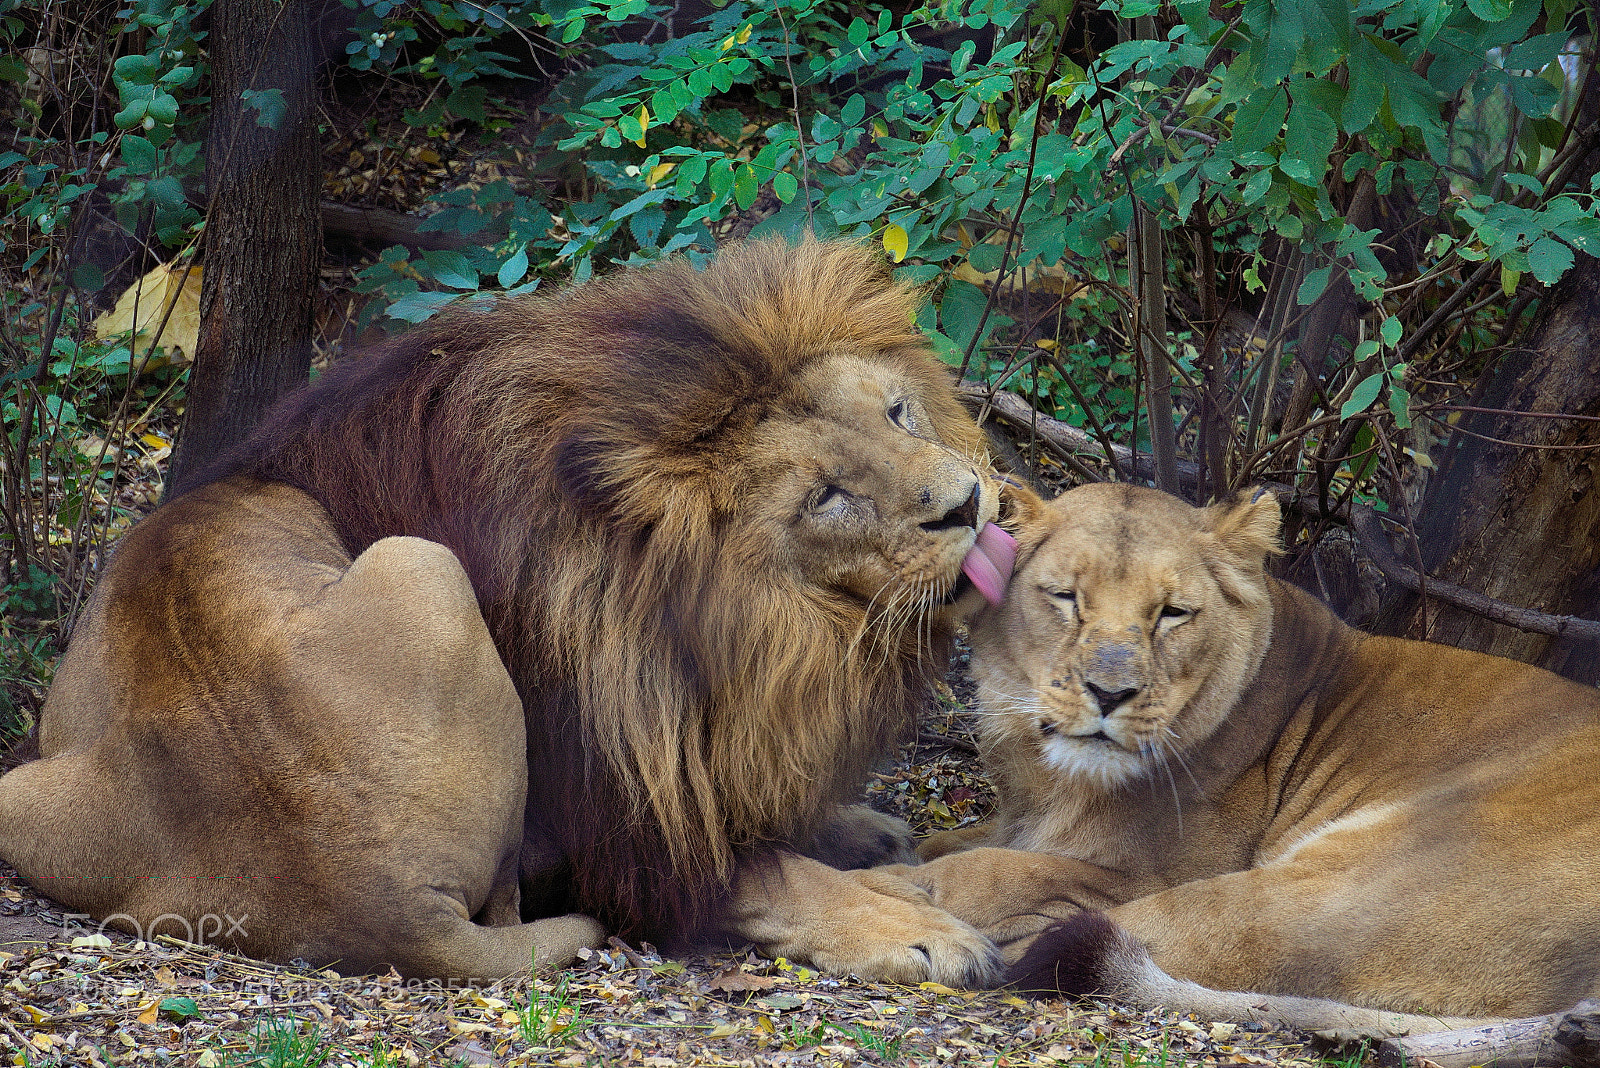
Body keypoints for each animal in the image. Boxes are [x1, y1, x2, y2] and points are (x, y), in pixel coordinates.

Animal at [0, 238, 1019, 982]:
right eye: (826, 497)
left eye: (898, 414)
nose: (969, 502)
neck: (765, 633)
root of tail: (385, 901)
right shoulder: (602, 805)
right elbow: (747, 874)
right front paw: (909, 919)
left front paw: (859, 832)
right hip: (421, 570)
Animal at [889, 482, 1600, 1035]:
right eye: (1065, 597)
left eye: (1174, 613)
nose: (1110, 693)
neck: (1050, 780)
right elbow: (956, 843)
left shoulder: (1147, 871)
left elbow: (996, 870)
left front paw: (911, 885)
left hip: (1333, 889)